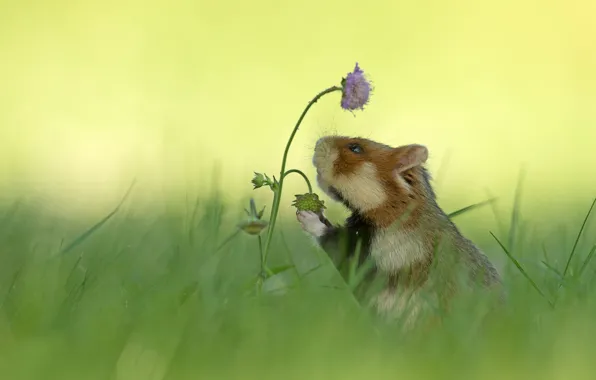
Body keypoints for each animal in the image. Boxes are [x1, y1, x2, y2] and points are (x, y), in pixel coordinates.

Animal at [298, 136, 502, 330]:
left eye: (355, 148)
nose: (318, 142)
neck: (398, 213)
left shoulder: (368, 257)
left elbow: (331, 238)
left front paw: (305, 215)